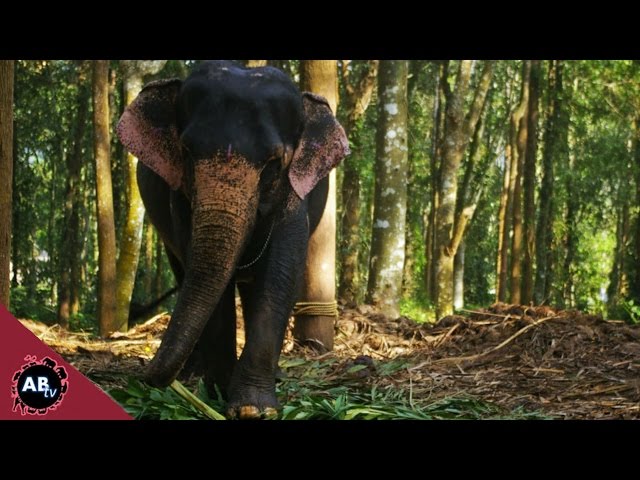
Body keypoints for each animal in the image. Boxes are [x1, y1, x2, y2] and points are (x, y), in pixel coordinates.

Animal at [117, 60, 349, 419]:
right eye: (186, 152)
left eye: (274, 163)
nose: (146, 374)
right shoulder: (179, 200)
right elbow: (211, 282)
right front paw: (217, 393)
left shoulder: (295, 196)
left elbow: (280, 275)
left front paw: (253, 408)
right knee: (183, 272)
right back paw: (193, 373)